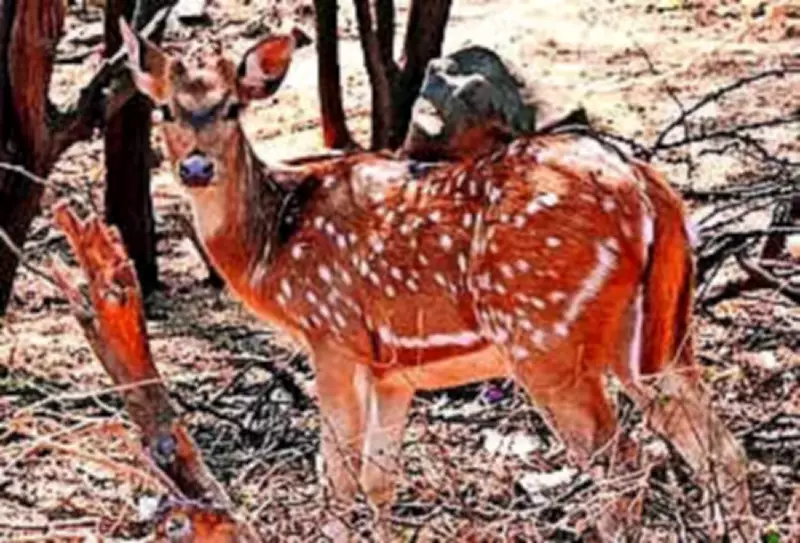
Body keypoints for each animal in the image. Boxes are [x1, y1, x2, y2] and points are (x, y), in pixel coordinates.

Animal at [119, 19, 752, 539]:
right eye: (167, 110)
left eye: (231, 107)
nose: (196, 166)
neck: (273, 245)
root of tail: (649, 186)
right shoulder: (394, 369)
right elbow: (378, 481)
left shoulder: (332, 333)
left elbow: (338, 479)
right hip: (654, 333)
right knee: (720, 449)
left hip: (546, 337)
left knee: (624, 465)